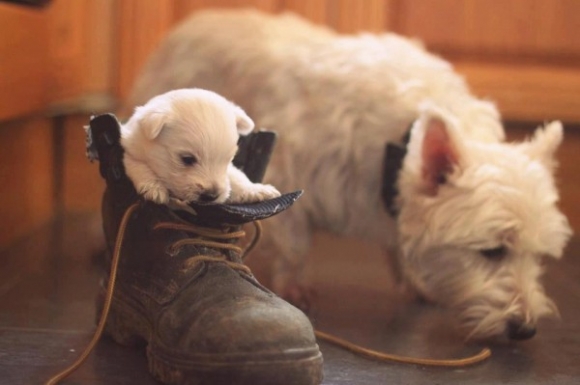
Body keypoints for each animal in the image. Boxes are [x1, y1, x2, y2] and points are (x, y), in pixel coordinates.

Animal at [121, 88, 280, 204]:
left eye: (228, 160)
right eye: (187, 159)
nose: (212, 196)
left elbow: (236, 175)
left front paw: (255, 189)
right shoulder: (130, 150)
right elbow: (140, 166)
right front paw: (154, 187)